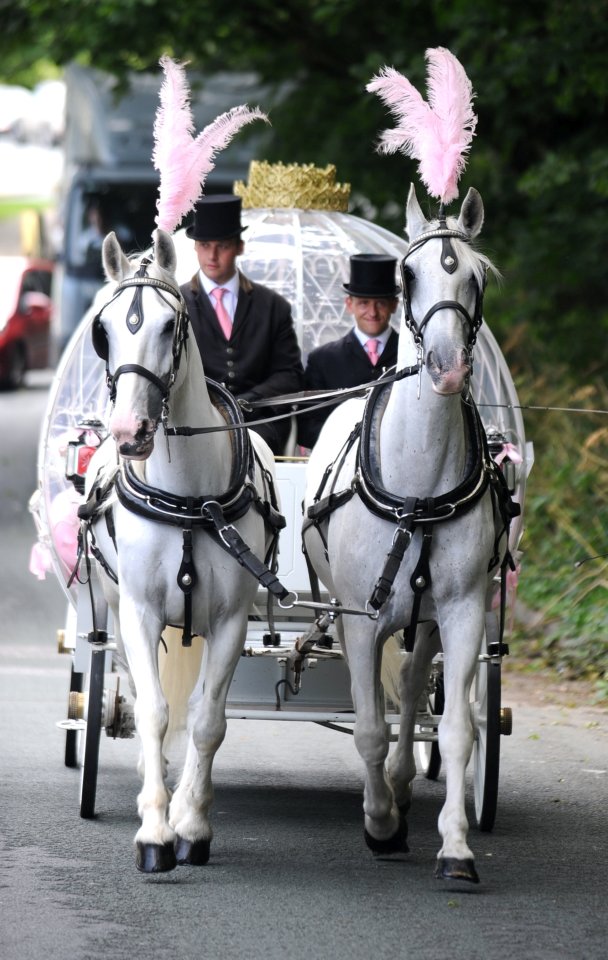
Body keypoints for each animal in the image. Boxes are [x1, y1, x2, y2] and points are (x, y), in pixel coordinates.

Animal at [84, 229, 282, 872]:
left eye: (171, 325)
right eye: (104, 329)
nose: (130, 432)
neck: (191, 497)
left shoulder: (230, 621)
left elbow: (206, 719)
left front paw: (191, 823)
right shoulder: (140, 613)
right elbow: (152, 711)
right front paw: (154, 831)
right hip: (114, 609)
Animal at [304, 184, 512, 880]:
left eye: (475, 276)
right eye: (408, 274)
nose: (447, 367)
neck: (417, 488)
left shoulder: (463, 610)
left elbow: (455, 729)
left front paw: (455, 847)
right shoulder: (360, 619)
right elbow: (367, 725)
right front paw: (379, 825)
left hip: (425, 619)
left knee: (417, 688)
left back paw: (400, 784)